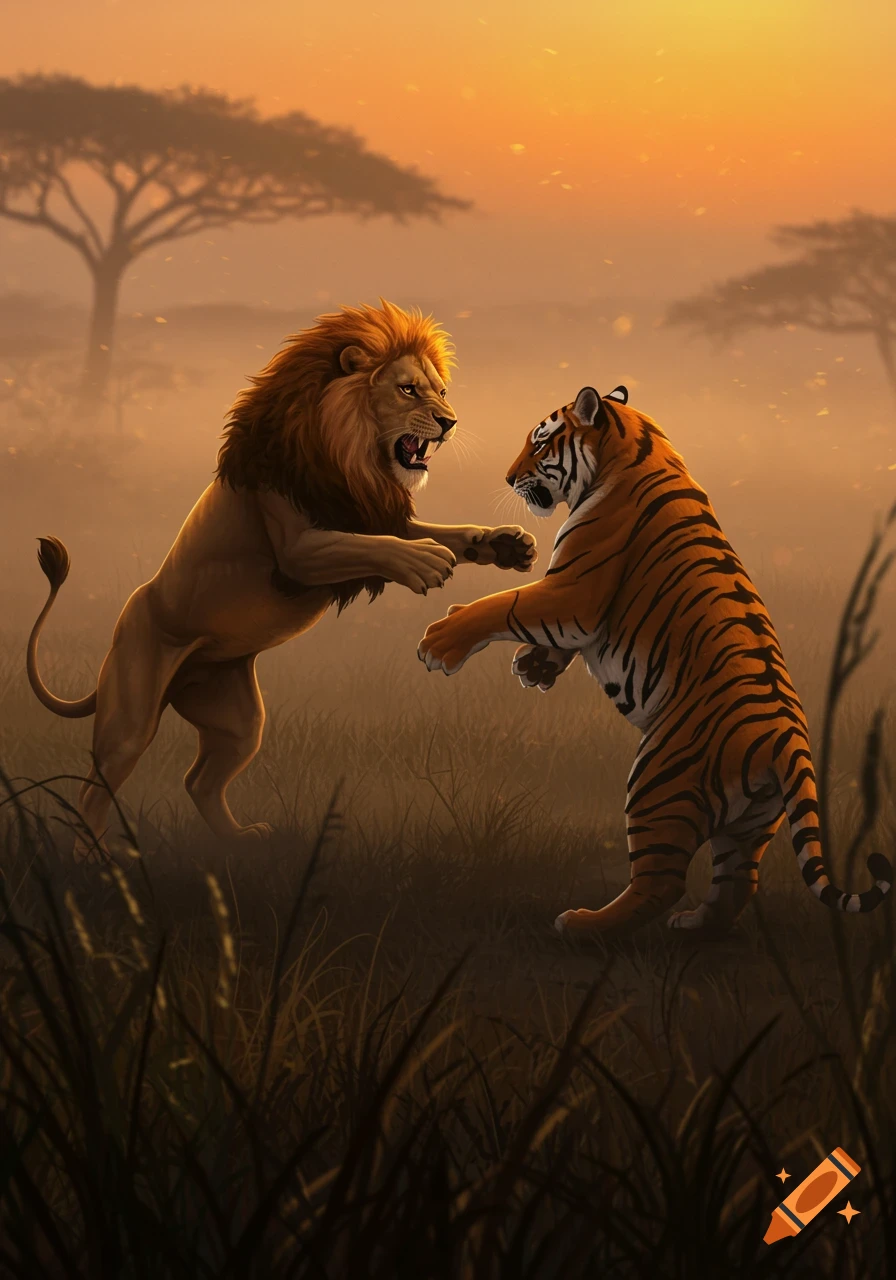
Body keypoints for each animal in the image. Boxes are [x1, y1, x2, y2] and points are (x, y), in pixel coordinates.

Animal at [26, 299, 537, 855]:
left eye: (440, 390)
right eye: (407, 390)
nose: (449, 422)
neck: (350, 452)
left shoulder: (369, 511)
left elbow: (442, 533)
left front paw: (504, 543)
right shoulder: (299, 549)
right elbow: (372, 546)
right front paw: (423, 562)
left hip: (239, 721)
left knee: (198, 780)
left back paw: (240, 839)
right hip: (131, 718)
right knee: (92, 790)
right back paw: (95, 856)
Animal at [417, 384, 893, 937]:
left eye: (539, 444)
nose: (510, 478)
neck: (632, 450)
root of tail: (787, 742)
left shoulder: (574, 591)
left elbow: (506, 605)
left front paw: (441, 641)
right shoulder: (577, 603)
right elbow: (547, 633)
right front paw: (534, 666)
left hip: (658, 779)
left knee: (659, 882)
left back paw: (583, 924)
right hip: (751, 822)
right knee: (739, 880)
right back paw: (695, 926)